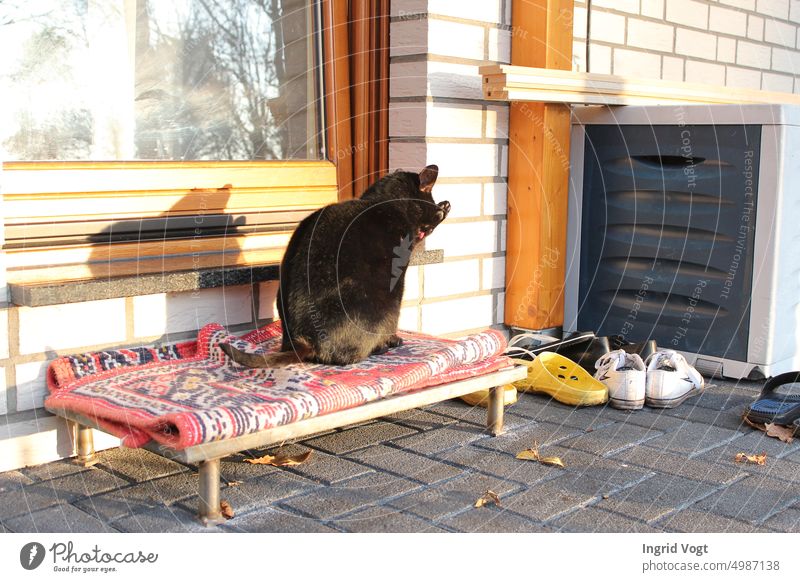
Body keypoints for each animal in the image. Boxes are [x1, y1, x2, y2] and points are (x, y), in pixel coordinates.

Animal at [223, 164, 450, 368]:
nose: (440, 209)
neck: (380, 201)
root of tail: (305, 340)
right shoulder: (398, 281)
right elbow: (393, 321)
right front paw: (443, 208)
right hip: (383, 304)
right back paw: (379, 347)